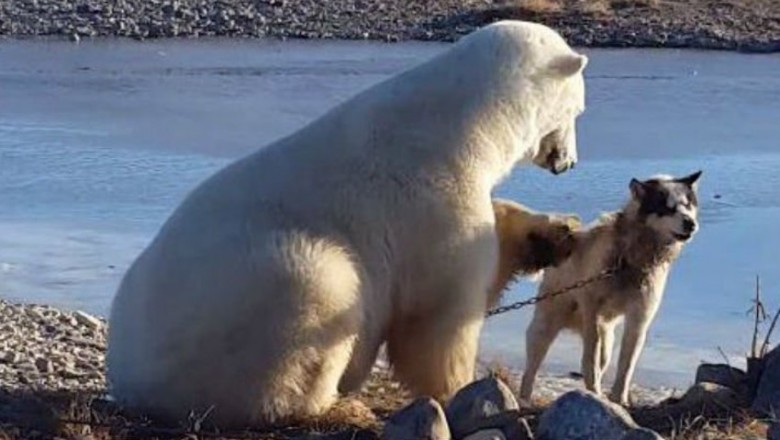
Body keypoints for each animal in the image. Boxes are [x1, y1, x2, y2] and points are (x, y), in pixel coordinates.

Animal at [106, 19, 588, 426]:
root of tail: (128, 378)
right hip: (252, 293)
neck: (465, 123)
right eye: (578, 110)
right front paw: (459, 387)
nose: (568, 161)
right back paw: (333, 403)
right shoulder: (431, 200)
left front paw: (554, 234)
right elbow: (439, 313)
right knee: (323, 289)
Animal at [520, 171, 704, 406]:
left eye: (688, 205)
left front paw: (619, 400)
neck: (630, 259)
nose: (691, 223)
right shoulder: (591, 310)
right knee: (531, 368)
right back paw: (525, 398)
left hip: (607, 339)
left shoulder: (639, 319)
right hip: (545, 326)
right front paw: (596, 391)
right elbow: (590, 357)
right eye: (667, 208)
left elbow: (626, 365)